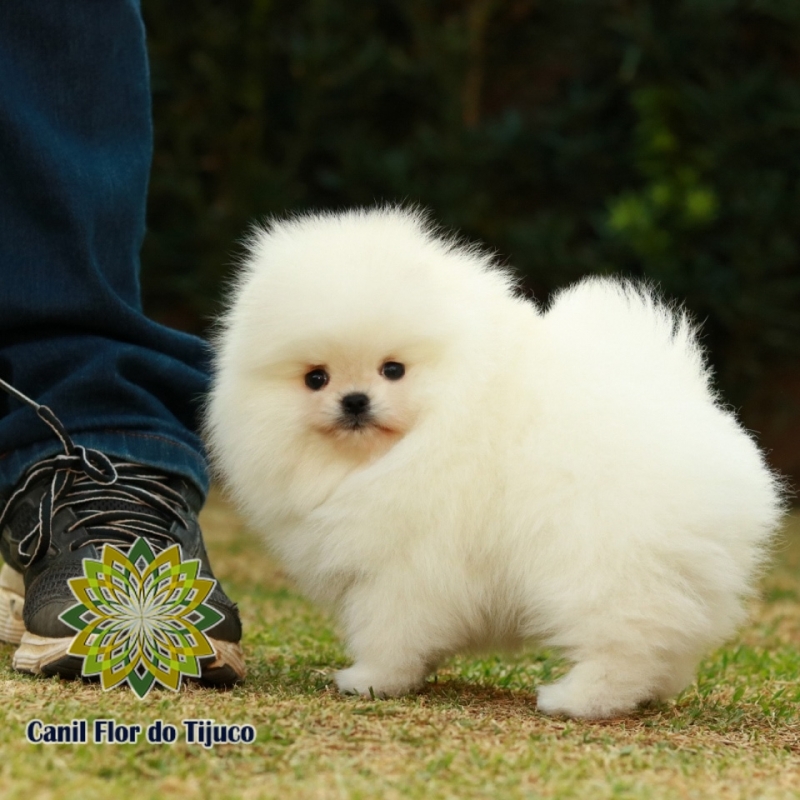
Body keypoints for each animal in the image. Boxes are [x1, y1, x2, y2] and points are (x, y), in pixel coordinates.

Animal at [205, 206, 780, 720]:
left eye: (393, 369)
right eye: (315, 378)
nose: (354, 401)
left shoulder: (406, 565)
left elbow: (390, 628)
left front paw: (371, 680)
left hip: (603, 560)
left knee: (625, 639)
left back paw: (580, 700)